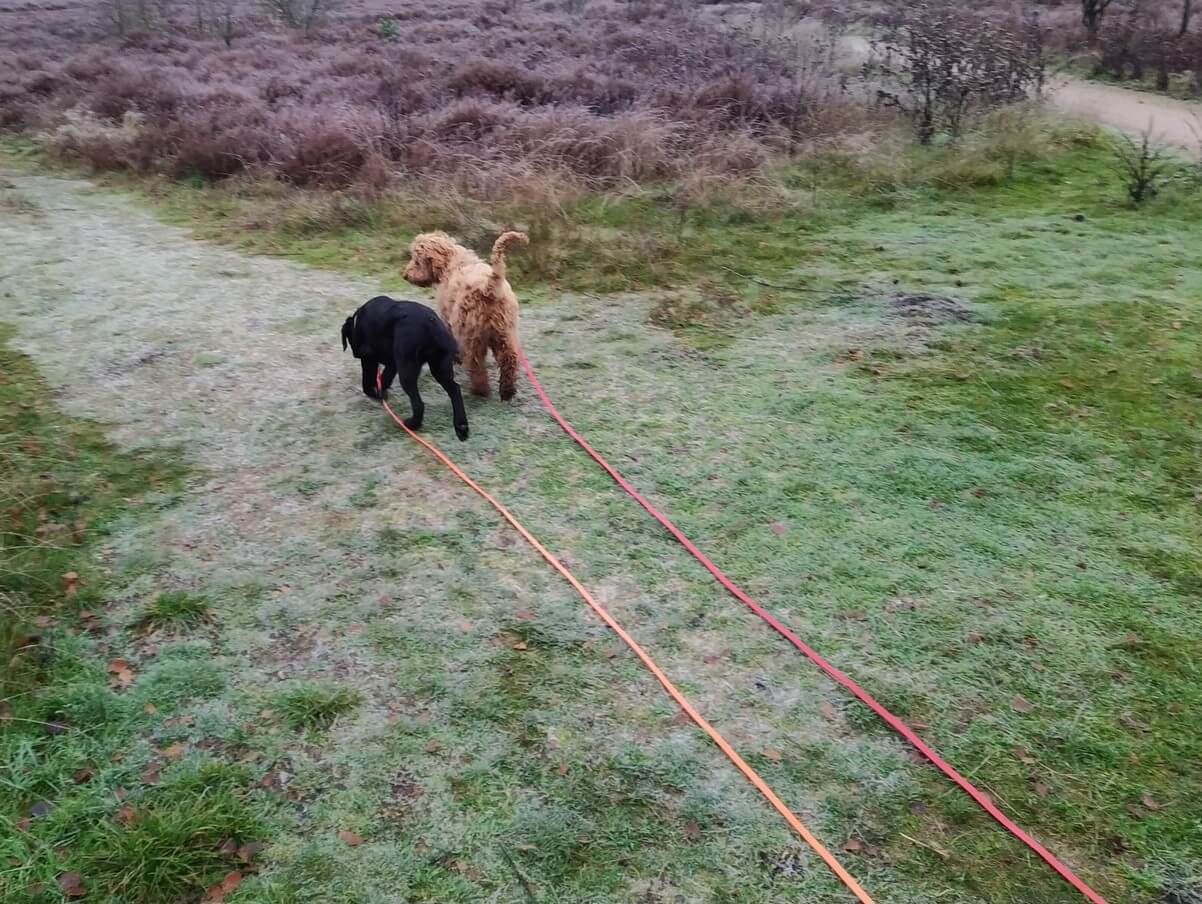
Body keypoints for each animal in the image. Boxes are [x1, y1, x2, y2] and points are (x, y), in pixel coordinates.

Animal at [343, 296, 468, 442]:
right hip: (439, 366)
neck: (357, 323)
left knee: (419, 404)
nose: (354, 353)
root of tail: (431, 324)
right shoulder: (392, 362)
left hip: (407, 370)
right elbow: (385, 377)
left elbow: (367, 381)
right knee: (455, 389)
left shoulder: (368, 358)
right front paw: (381, 393)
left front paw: (375, 393)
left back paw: (411, 425)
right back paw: (461, 426)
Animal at [403, 230, 526, 401]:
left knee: (476, 363)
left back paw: (480, 390)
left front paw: (454, 359)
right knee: (509, 359)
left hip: (471, 335)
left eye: (417, 260)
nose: (405, 275)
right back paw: (507, 391)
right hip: (505, 332)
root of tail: (489, 287)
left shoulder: (447, 318)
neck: (450, 262)